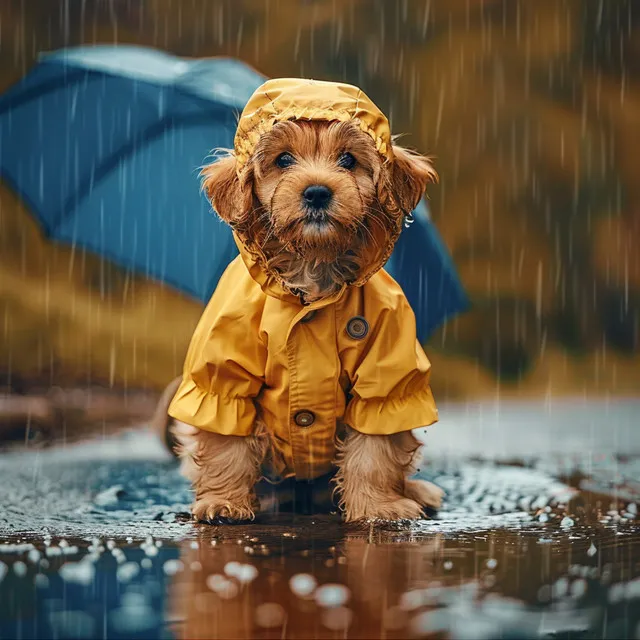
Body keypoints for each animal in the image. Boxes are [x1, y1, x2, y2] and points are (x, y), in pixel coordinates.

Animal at [161, 77, 444, 524]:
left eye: (348, 159)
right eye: (283, 159)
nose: (316, 192)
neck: (311, 281)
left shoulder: (384, 381)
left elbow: (376, 450)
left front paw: (379, 507)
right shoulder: (224, 375)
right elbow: (225, 444)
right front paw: (224, 502)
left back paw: (418, 492)